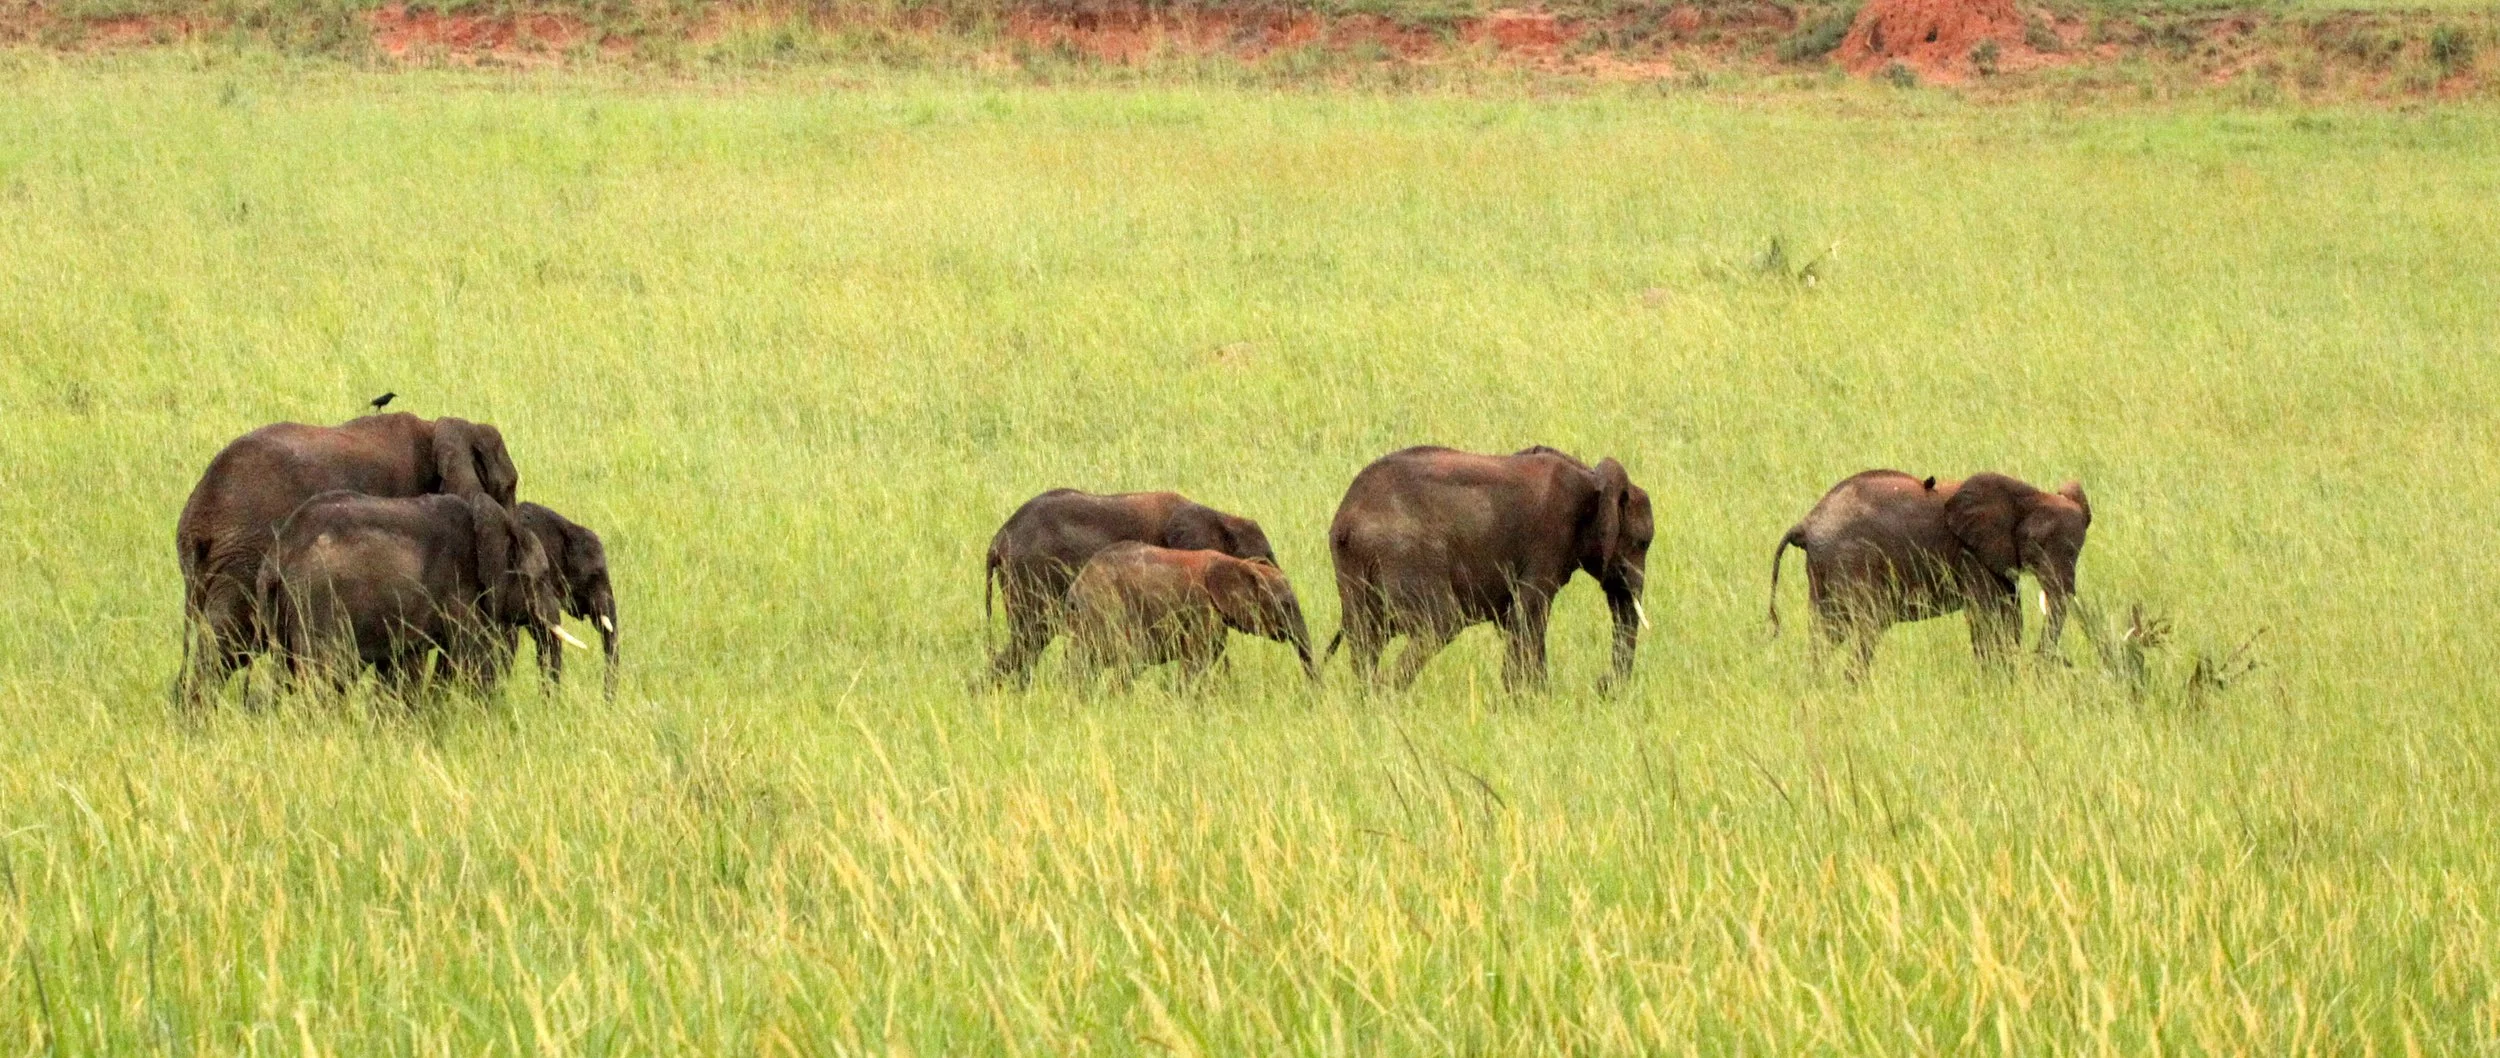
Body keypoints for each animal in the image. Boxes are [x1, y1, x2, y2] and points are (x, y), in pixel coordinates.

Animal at [256, 491, 581, 694]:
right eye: (541, 578)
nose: (549, 704)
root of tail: (279, 556)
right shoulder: (458, 587)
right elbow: (472, 658)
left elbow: (409, 664)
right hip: (317, 601)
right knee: (325, 673)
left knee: (285, 670)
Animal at [1063, 543, 1317, 688]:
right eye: (1285, 605)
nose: (1313, 695)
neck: (1238, 564)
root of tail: (1076, 588)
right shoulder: (1201, 608)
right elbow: (1199, 658)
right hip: (1110, 608)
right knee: (1131, 660)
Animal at [1326, 446, 1654, 691]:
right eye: (1642, 543)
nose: (1602, 685)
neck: (1592, 479)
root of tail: (1346, 518)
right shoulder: (1549, 540)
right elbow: (1529, 617)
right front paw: (1528, 701)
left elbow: (1516, 622)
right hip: (1407, 553)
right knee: (1440, 623)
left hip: (1354, 565)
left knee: (1365, 639)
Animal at [1767, 470, 2091, 676]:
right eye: (2036, 545)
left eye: (2079, 551)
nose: (2048, 665)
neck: (2030, 495)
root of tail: (1807, 523)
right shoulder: (1971, 554)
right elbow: (1988, 615)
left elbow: (2009, 614)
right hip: (1852, 558)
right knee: (1865, 627)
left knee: (1825, 632)